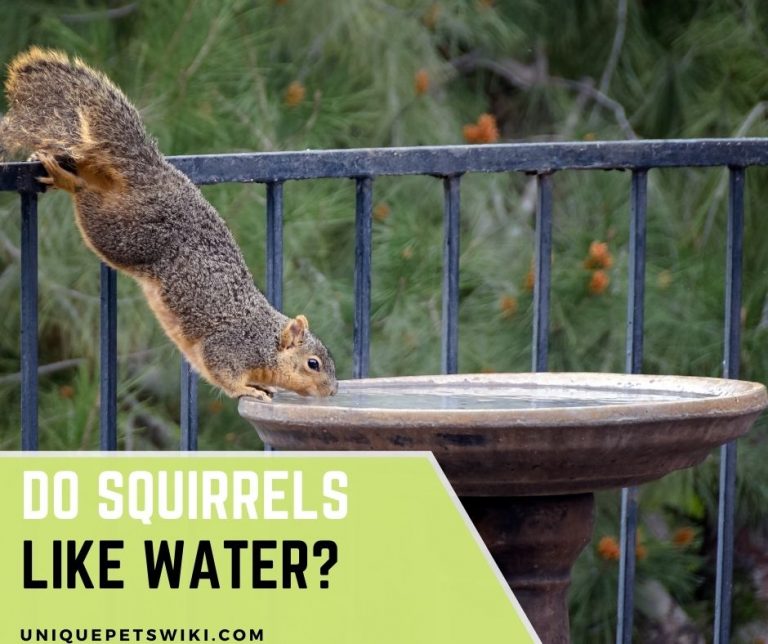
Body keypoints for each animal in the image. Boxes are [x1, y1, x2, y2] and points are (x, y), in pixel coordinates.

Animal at [0, 47, 337, 401]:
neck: (266, 341)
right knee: (88, 199)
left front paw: (262, 387)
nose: (332, 391)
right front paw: (251, 391)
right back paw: (68, 180)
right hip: (122, 232)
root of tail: (153, 172)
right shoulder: (228, 348)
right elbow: (225, 375)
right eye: (313, 363)